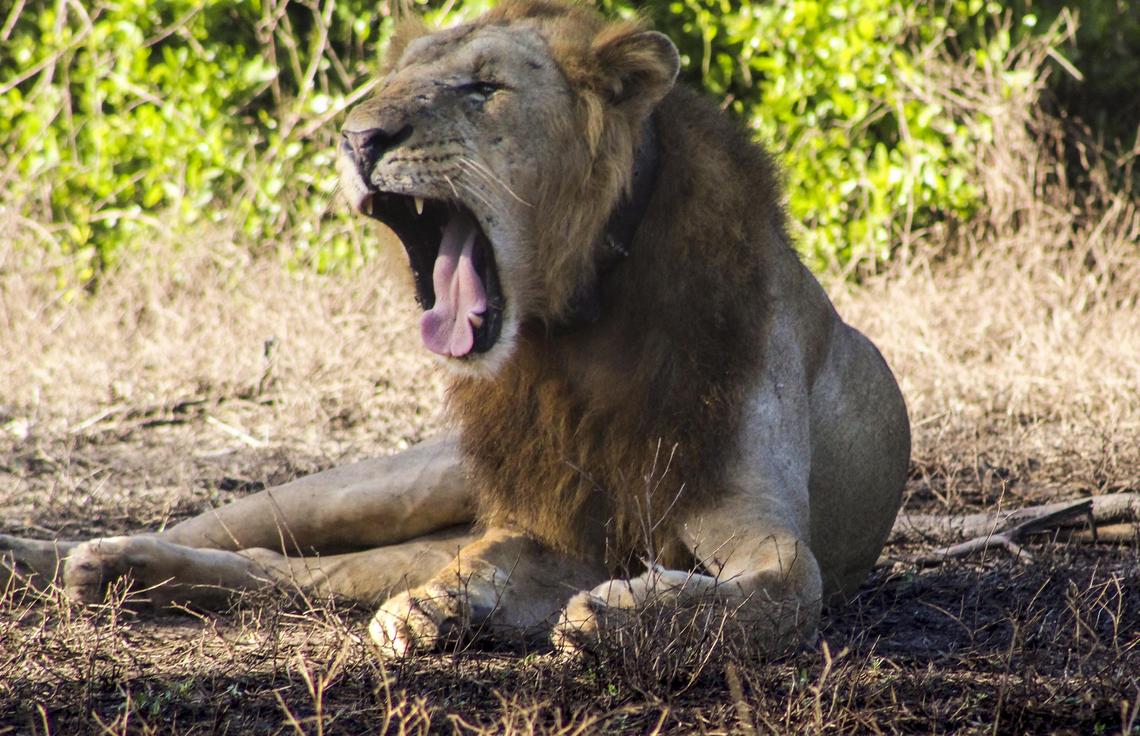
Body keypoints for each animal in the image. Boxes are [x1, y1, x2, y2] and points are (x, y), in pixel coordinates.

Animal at [1, 0, 909, 657]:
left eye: (483, 89)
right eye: (388, 87)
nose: (357, 137)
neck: (576, 327)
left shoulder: (747, 515)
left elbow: (785, 591)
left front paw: (614, 618)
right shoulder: (547, 520)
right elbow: (494, 558)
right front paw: (437, 611)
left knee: (287, 573)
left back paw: (112, 572)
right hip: (390, 481)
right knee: (245, 531)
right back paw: (61, 557)